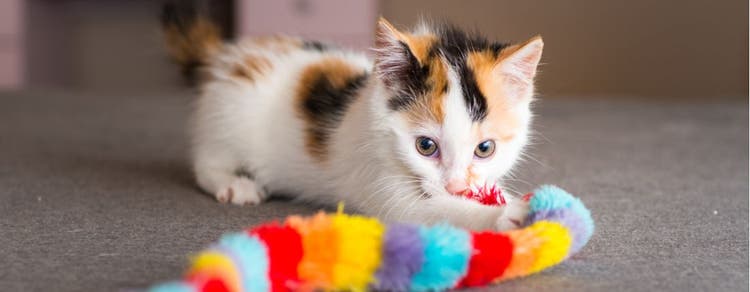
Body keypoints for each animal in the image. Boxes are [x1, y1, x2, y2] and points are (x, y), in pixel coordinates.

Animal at [162, 10, 544, 232]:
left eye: (485, 148)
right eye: (425, 146)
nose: (457, 188)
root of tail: (230, 55)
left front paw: (508, 200)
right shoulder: (379, 184)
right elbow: (431, 211)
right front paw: (507, 216)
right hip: (228, 117)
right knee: (206, 161)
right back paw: (234, 184)